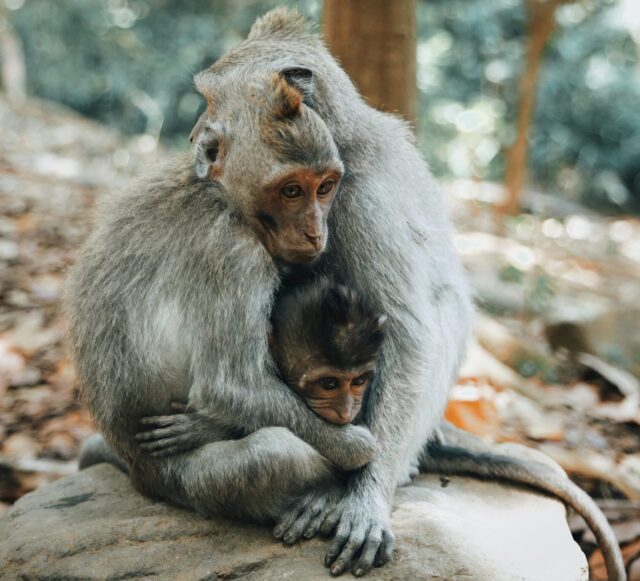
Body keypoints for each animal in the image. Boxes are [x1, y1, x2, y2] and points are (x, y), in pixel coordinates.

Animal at [71, 6, 470, 576]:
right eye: (205, 101)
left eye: (322, 188)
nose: (198, 139)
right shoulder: (239, 248)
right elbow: (231, 385)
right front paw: (351, 455)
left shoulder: (361, 202)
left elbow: (409, 339)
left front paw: (366, 496)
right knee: (274, 451)